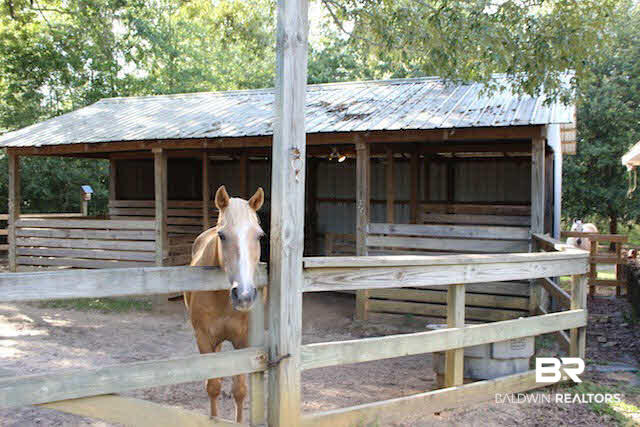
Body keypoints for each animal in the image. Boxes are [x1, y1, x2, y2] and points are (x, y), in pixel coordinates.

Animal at [185, 185, 265, 423]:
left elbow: (240, 391)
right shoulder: (204, 338)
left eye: (259, 235)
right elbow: (213, 386)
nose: (244, 295)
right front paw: (213, 419)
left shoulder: (243, 341)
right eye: (222, 235)